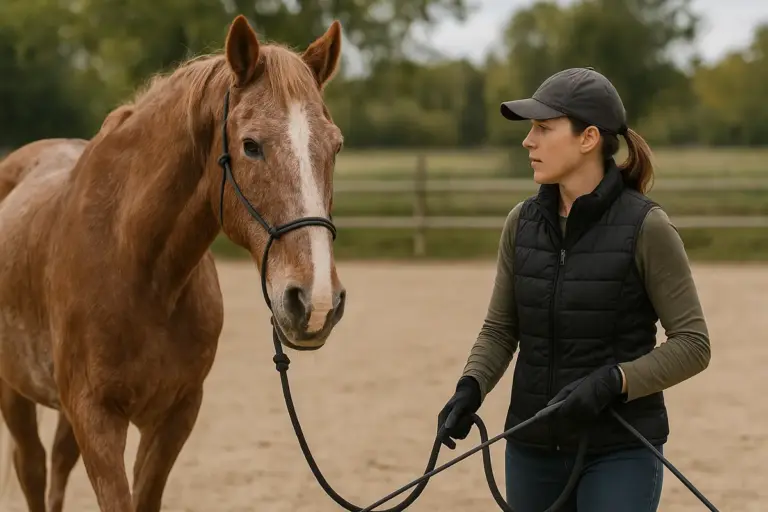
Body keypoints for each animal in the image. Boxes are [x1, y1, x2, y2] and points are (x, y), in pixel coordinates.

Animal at [0, 14, 346, 511]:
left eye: (336, 146)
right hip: (14, 394)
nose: (315, 302)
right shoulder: (96, 418)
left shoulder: (175, 415)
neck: (136, 265)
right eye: (251, 145)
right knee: (31, 467)